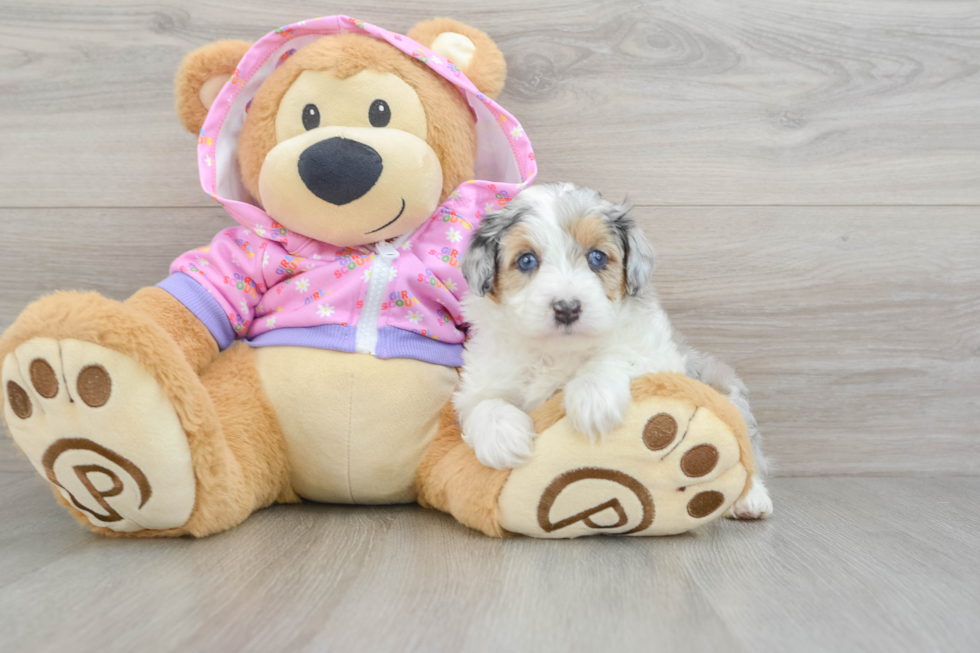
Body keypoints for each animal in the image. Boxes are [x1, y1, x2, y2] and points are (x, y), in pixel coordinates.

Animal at [454, 183, 772, 520]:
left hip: (725, 391)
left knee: (747, 452)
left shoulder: (657, 355)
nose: (567, 308)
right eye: (526, 260)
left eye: (597, 257)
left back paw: (751, 498)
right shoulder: (481, 379)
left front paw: (592, 399)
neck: (558, 351)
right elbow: (483, 403)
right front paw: (502, 438)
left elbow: (616, 357)